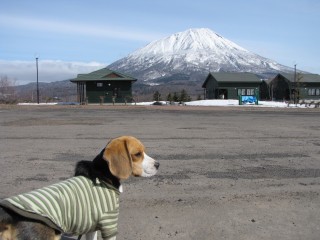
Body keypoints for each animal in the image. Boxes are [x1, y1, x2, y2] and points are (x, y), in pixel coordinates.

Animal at [0, 136, 160, 239]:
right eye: (137, 154)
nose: (158, 164)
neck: (102, 176)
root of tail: (7, 213)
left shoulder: (92, 228)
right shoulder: (109, 225)